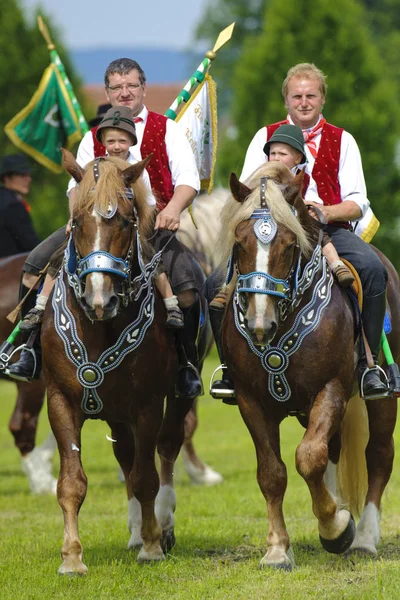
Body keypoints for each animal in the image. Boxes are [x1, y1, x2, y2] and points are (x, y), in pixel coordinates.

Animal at [42, 152, 208, 576]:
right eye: (77, 221)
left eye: (124, 221)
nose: (100, 298)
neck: (99, 326)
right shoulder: (60, 401)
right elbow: (72, 481)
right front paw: (72, 558)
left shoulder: (147, 404)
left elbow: (146, 476)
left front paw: (152, 545)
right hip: (115, 413)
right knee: (126, 456)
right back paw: (135, 531)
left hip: (178, 395)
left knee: (166, 448)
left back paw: (161, 527)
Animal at [219, 162, 400, 568]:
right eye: (239, 243)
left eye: (288, 245)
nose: (260, 323)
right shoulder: (250, 401)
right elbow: (272, 472)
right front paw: (277, 549)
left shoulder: (330, 389)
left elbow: (309, 457)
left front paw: (336, 528)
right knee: (334, 450)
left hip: (382, 398)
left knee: (378, 455)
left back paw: (364, 537)